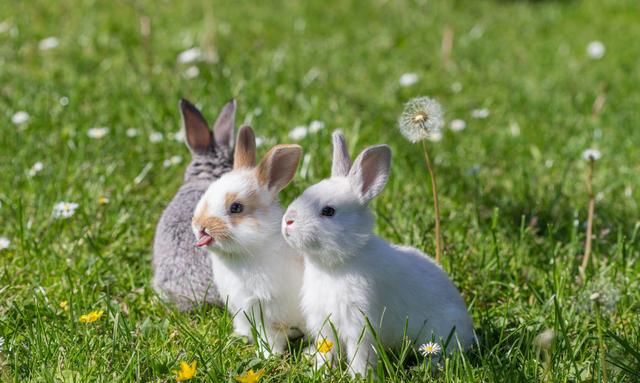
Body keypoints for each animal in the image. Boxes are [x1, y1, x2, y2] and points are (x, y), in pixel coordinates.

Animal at [191, 127, 306, 356]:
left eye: (236, 208)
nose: (200, 226)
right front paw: (241, 337)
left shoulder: (269, 311)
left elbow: (272, 336)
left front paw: (269, 355)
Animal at [282, 131, 476, 376]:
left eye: (328, 211)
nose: (287, 221)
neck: (338, 262)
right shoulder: (324, 323)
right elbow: (327, 350)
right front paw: (320, 369)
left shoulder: (360, 323)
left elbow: (360, 353)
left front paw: (359, 376)